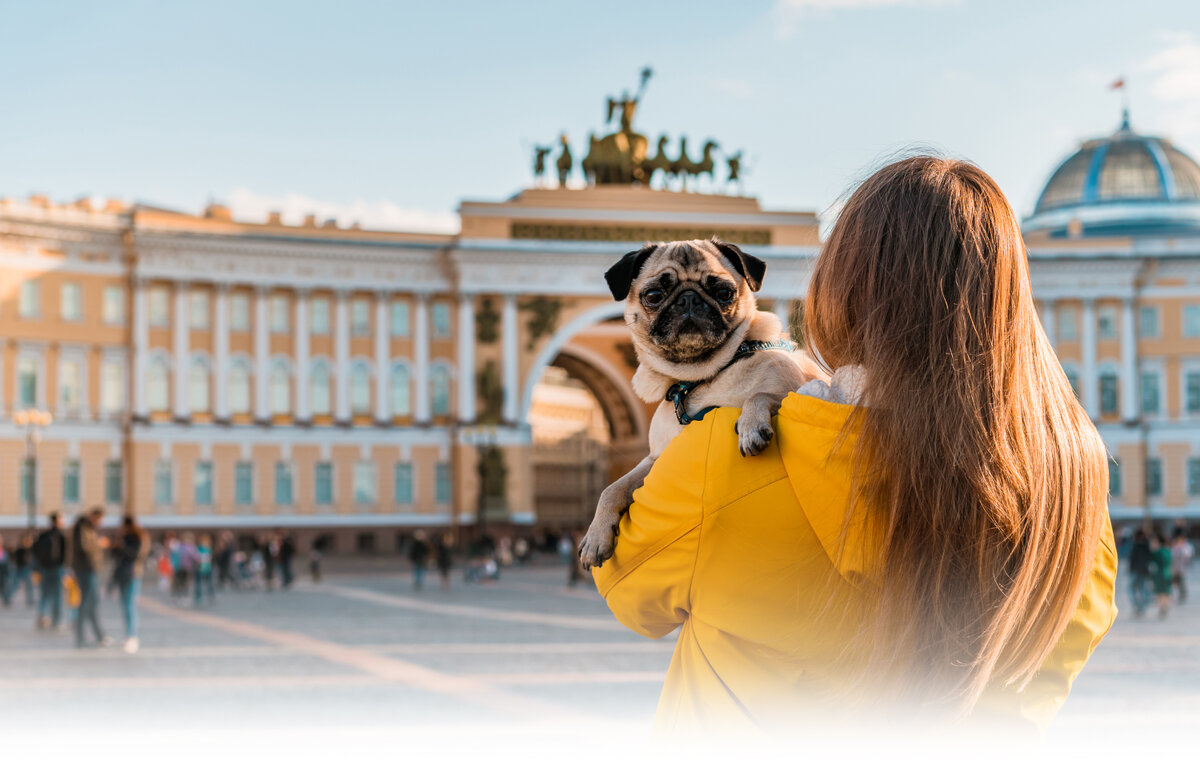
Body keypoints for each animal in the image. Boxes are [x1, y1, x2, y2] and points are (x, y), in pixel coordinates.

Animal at [578, 237, 825, 569]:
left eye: (724, 293)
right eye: (654, 296)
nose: (689, 300)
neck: (699, 379)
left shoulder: (799, 390)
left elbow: (759, 395)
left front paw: (751, 426)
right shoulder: (657, 460)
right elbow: (613, 487)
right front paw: (596, 535)